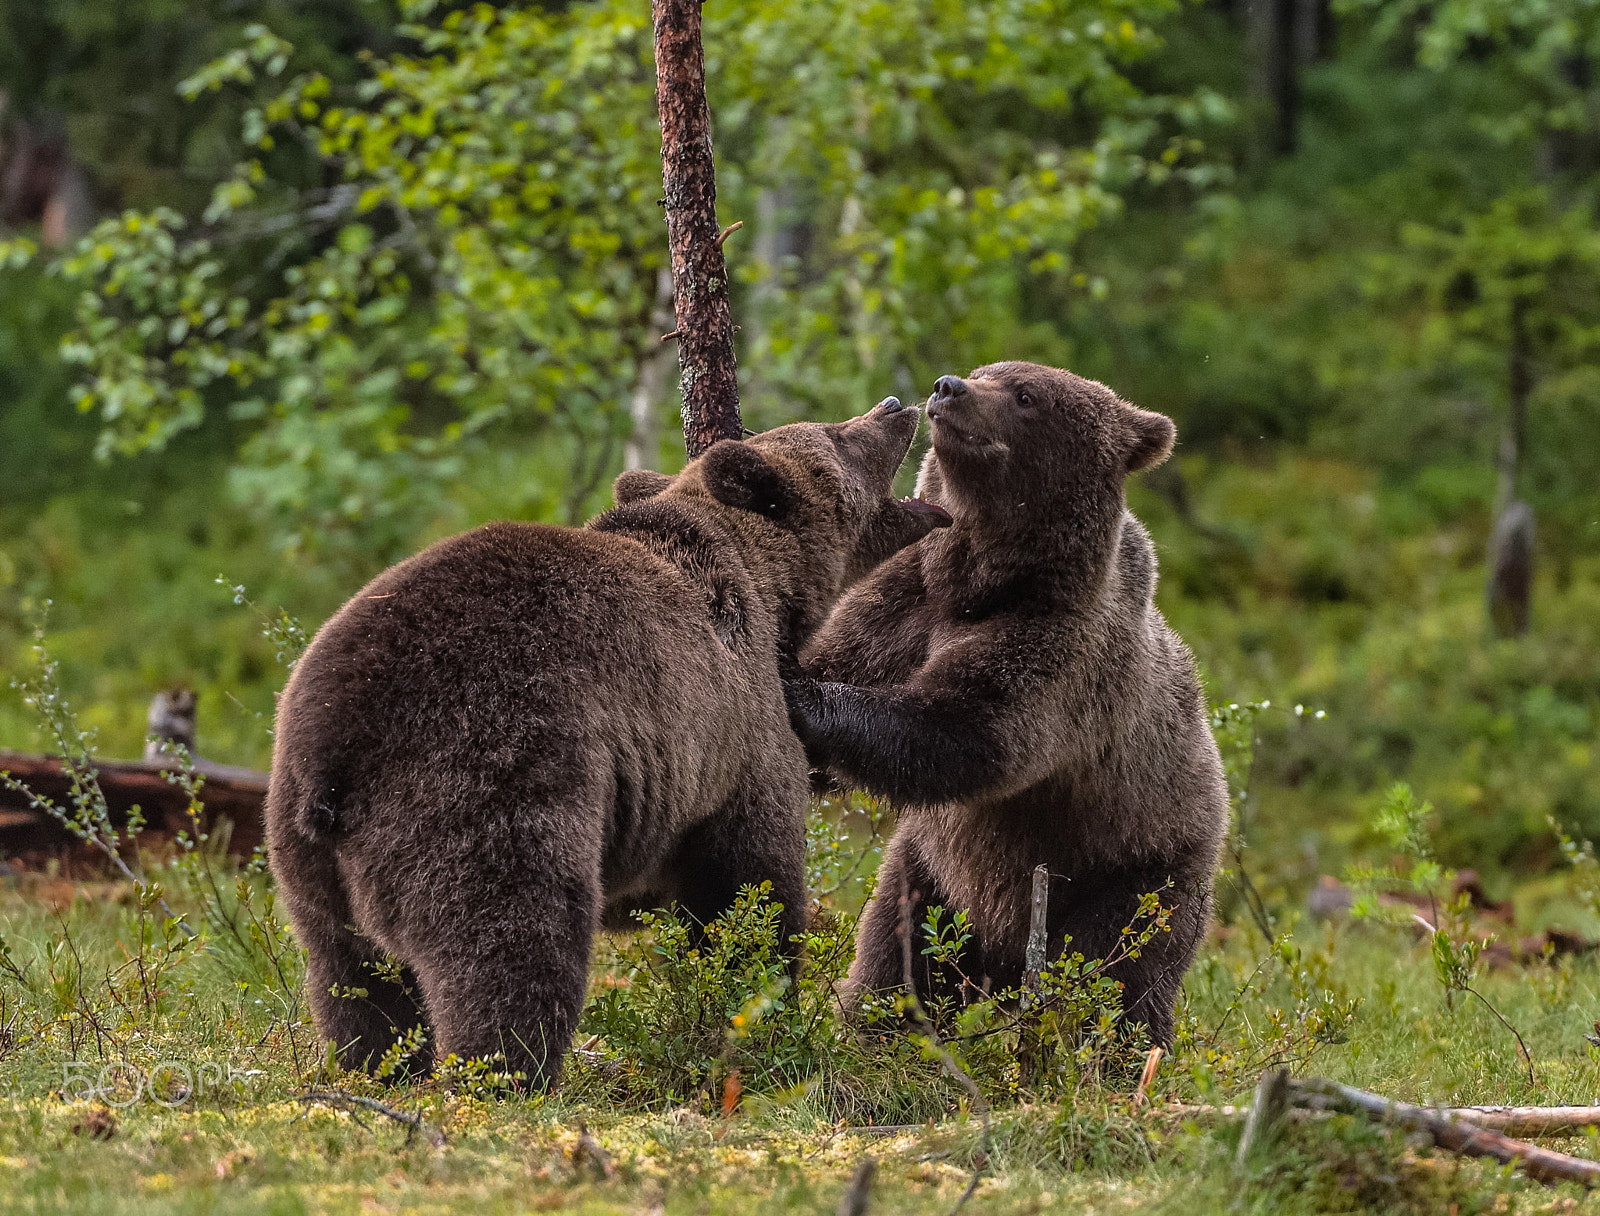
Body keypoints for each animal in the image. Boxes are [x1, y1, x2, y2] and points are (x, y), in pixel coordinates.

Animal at [265, 397, 950, 1088]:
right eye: (836, 437)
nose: (895, 406)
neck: (768, 589)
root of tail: (334, 747)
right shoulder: (739, 726)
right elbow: (749, 882)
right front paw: (757, 1009)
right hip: (484, 771)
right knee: (510, 940)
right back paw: (509, 1076)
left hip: (305, 852)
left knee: (354, 980)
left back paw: (379, 1070)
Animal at [785, 363, 1229, 1047]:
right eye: (984, 372)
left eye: (1026, 395)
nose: (948, 386)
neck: (980, 585)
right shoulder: (900, 608)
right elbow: (844, 659)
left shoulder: (1063, 653)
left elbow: (970, 730)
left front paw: (797, 690)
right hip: (936, 874)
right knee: (900, 951)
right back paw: (876, 1029)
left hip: (1135, 866)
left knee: (1116, 979)